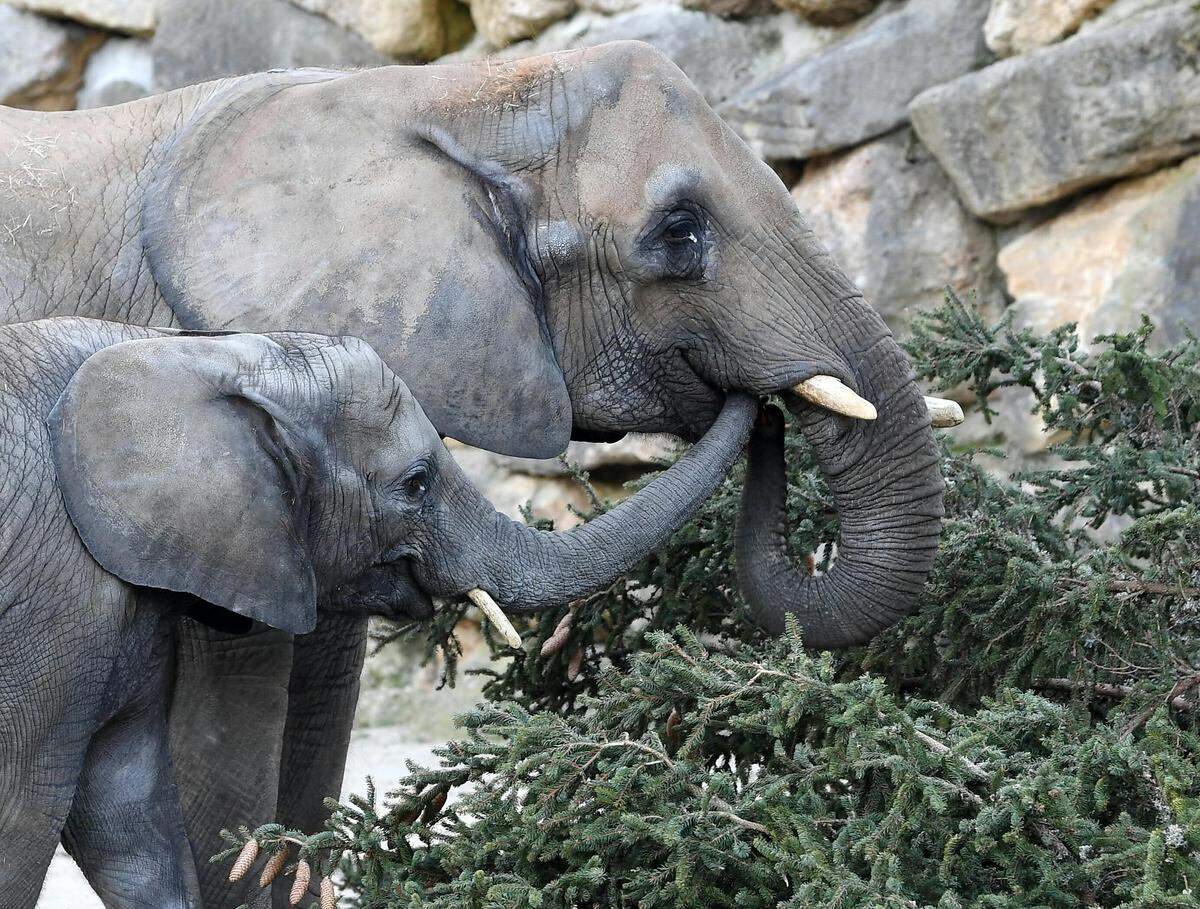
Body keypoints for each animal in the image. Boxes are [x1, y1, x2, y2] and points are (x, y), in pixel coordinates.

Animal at [0, 318, 748, 906]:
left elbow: (130, 823)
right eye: (415, 483)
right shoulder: (55, 594)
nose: (741, 387)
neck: (182, 354)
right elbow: (23, 815)